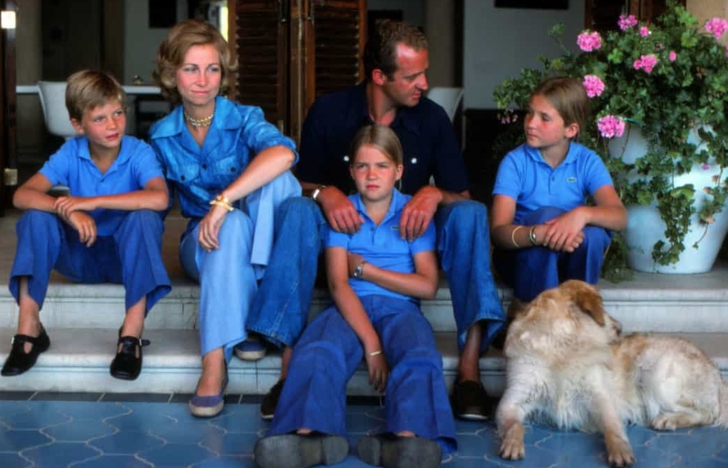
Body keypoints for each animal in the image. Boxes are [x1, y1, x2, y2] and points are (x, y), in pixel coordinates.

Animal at [494, 280, 728, 466]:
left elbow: (612, 428)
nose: (621, 327)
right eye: (603, 307)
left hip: (654, 372)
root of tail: (716, 372)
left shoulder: (601, 397)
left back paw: (668, 419)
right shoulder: (511, 401)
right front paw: (512, 443)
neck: (559, 346)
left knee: (708, 413)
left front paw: (620, 450)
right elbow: (514, 426)